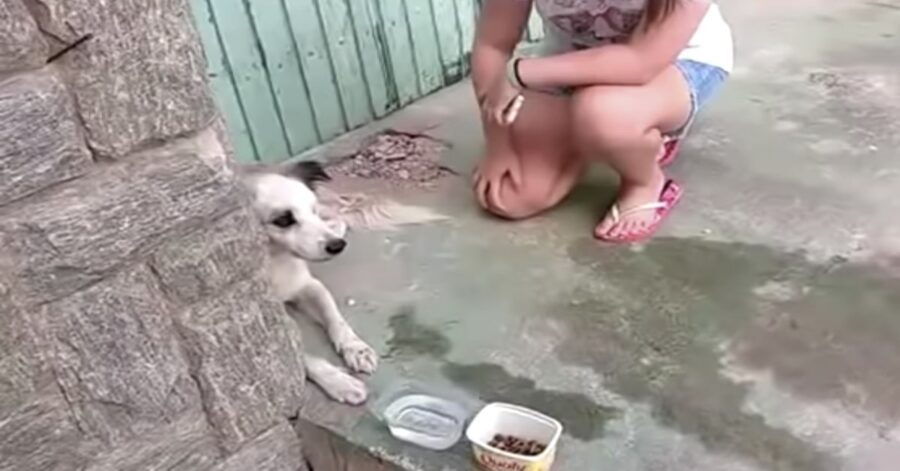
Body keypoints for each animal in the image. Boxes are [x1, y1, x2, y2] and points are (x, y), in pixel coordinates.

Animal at [239, 162, 376, 406]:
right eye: (283, 220)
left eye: (312, 210)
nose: (337, 246)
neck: (274, 262)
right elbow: (301, 355)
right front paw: (338, 381)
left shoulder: (308, 286)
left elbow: (335, 318)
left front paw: (356, 348)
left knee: (339, 218)